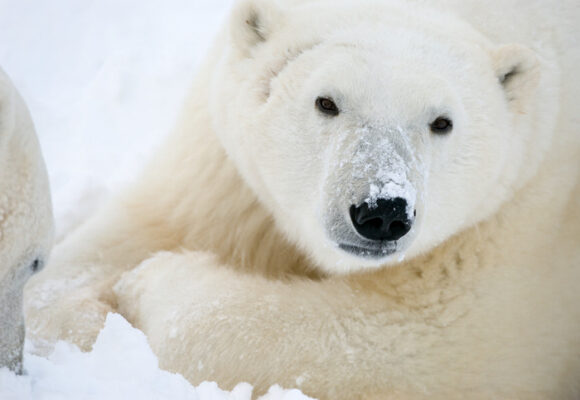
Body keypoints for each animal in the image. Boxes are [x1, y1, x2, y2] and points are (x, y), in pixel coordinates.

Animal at [26, 0, 580, 398]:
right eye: (326, 101)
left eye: (442, 121)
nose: (381, 212)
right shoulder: (222, 168)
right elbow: (128, 235)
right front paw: (79, 315)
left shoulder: (519, 215)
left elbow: (432, 338)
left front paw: (147, 285)